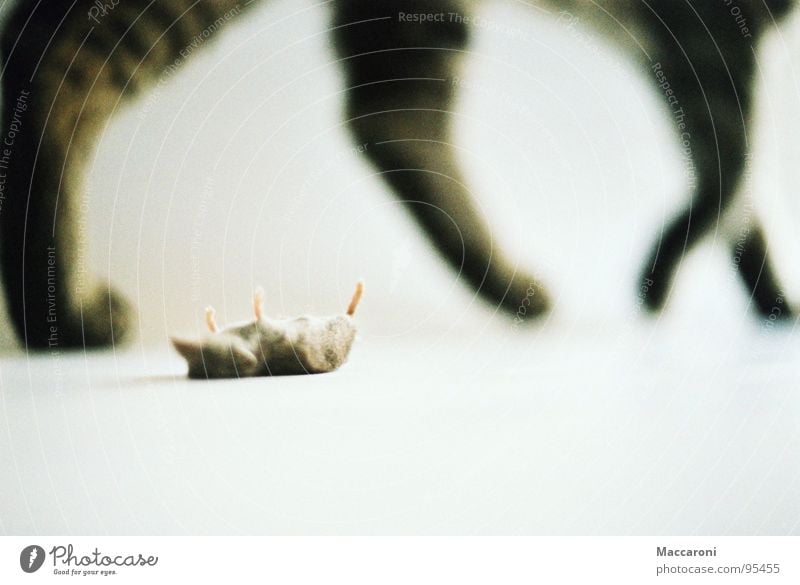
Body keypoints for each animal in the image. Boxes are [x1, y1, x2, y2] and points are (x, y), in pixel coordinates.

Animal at [0, 0, 792, 346]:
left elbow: (738, 189)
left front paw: (765, 294)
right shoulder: (715, 40)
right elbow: (734, 167)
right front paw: (662, 278)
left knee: (389, 119)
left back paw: (509, 289)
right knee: (56, 71)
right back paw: (59, 314)